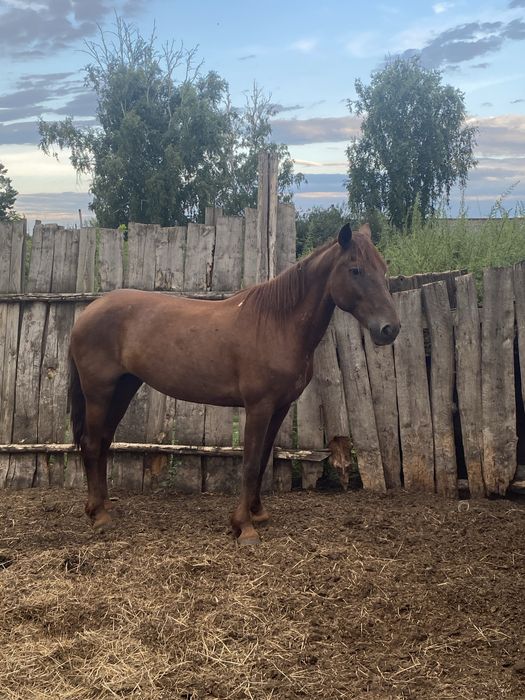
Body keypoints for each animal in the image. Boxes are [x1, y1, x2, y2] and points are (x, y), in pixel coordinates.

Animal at [69, 222, 400, 544]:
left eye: (384, 268)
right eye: (355, 269)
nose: (390, 329)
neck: (278, 324)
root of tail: (89, 311)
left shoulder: (280, 407)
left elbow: (263, 459)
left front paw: (258, 512)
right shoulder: (258, 407)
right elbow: (250, 463)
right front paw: (244, 527)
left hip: (123, 389)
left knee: (104, 441)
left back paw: (104, 505)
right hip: (99, 393)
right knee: (91, 442)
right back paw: (99, 514)